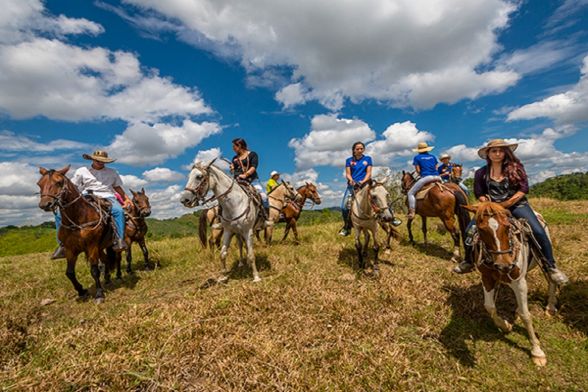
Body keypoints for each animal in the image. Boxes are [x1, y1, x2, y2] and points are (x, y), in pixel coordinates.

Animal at [36, 165, 116, 304]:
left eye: (59, 182)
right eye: (39, 183)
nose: (45, 204)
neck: (78, 219)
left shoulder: (92, 246)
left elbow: (94, 270)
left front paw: (99, 294)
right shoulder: (70, 250)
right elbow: (69, 273)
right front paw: (81, 291)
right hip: (100, 248)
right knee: (106, 260)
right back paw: (107, 278)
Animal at [464, 202, 556, 368]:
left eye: (507, 227)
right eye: (481, 229)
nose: (504, 265)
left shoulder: (519, 282)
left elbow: (526, 315)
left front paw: (537, 352)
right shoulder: (487, 278)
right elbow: (489, 306)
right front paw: (505, 325)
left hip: (544, 259)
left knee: (551, 278)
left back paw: (550, 307)